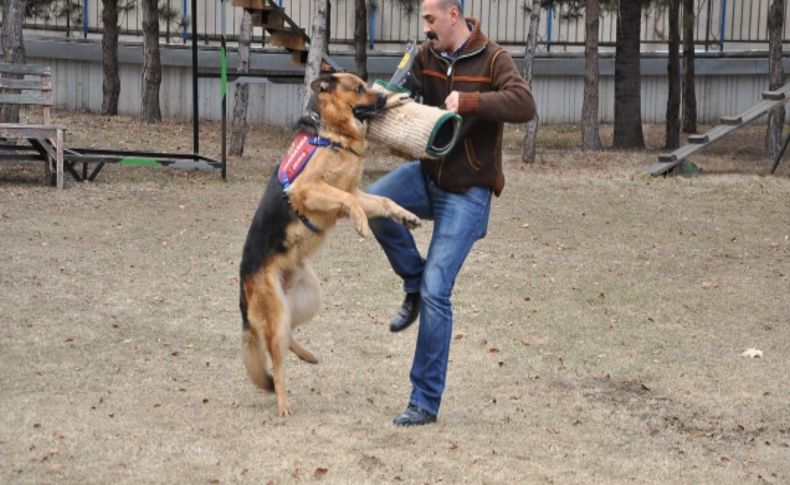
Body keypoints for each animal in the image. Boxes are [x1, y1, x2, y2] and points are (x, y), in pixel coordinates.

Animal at [238, 73, 420, 416]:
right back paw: (283, 403)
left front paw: (407, 216)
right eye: (359, 88)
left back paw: (308, 355)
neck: (333, 134)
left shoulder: (356, 191)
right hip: (277, 313)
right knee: (275, 360)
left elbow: (382, 201)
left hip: (307, 301)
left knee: (285, 338)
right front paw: (361, 224)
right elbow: (349, 201)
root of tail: (243, 285)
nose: (383, 96)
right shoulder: (309, 189)